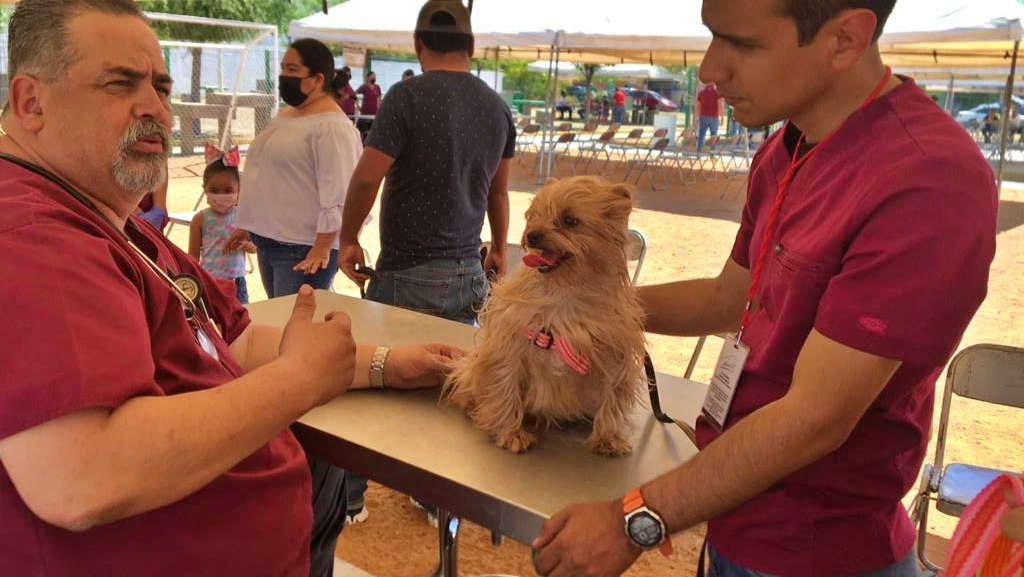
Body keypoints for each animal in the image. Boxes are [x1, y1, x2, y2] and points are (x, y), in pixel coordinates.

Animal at [444, 176, 643, 457]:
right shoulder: (509, 349)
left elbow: (613, 399)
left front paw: (608, 437)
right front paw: (510, 432)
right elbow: (505, 387)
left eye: (569, 220)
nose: (532, 235)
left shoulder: (616, 354)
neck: (565, 291)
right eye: (533, 216)